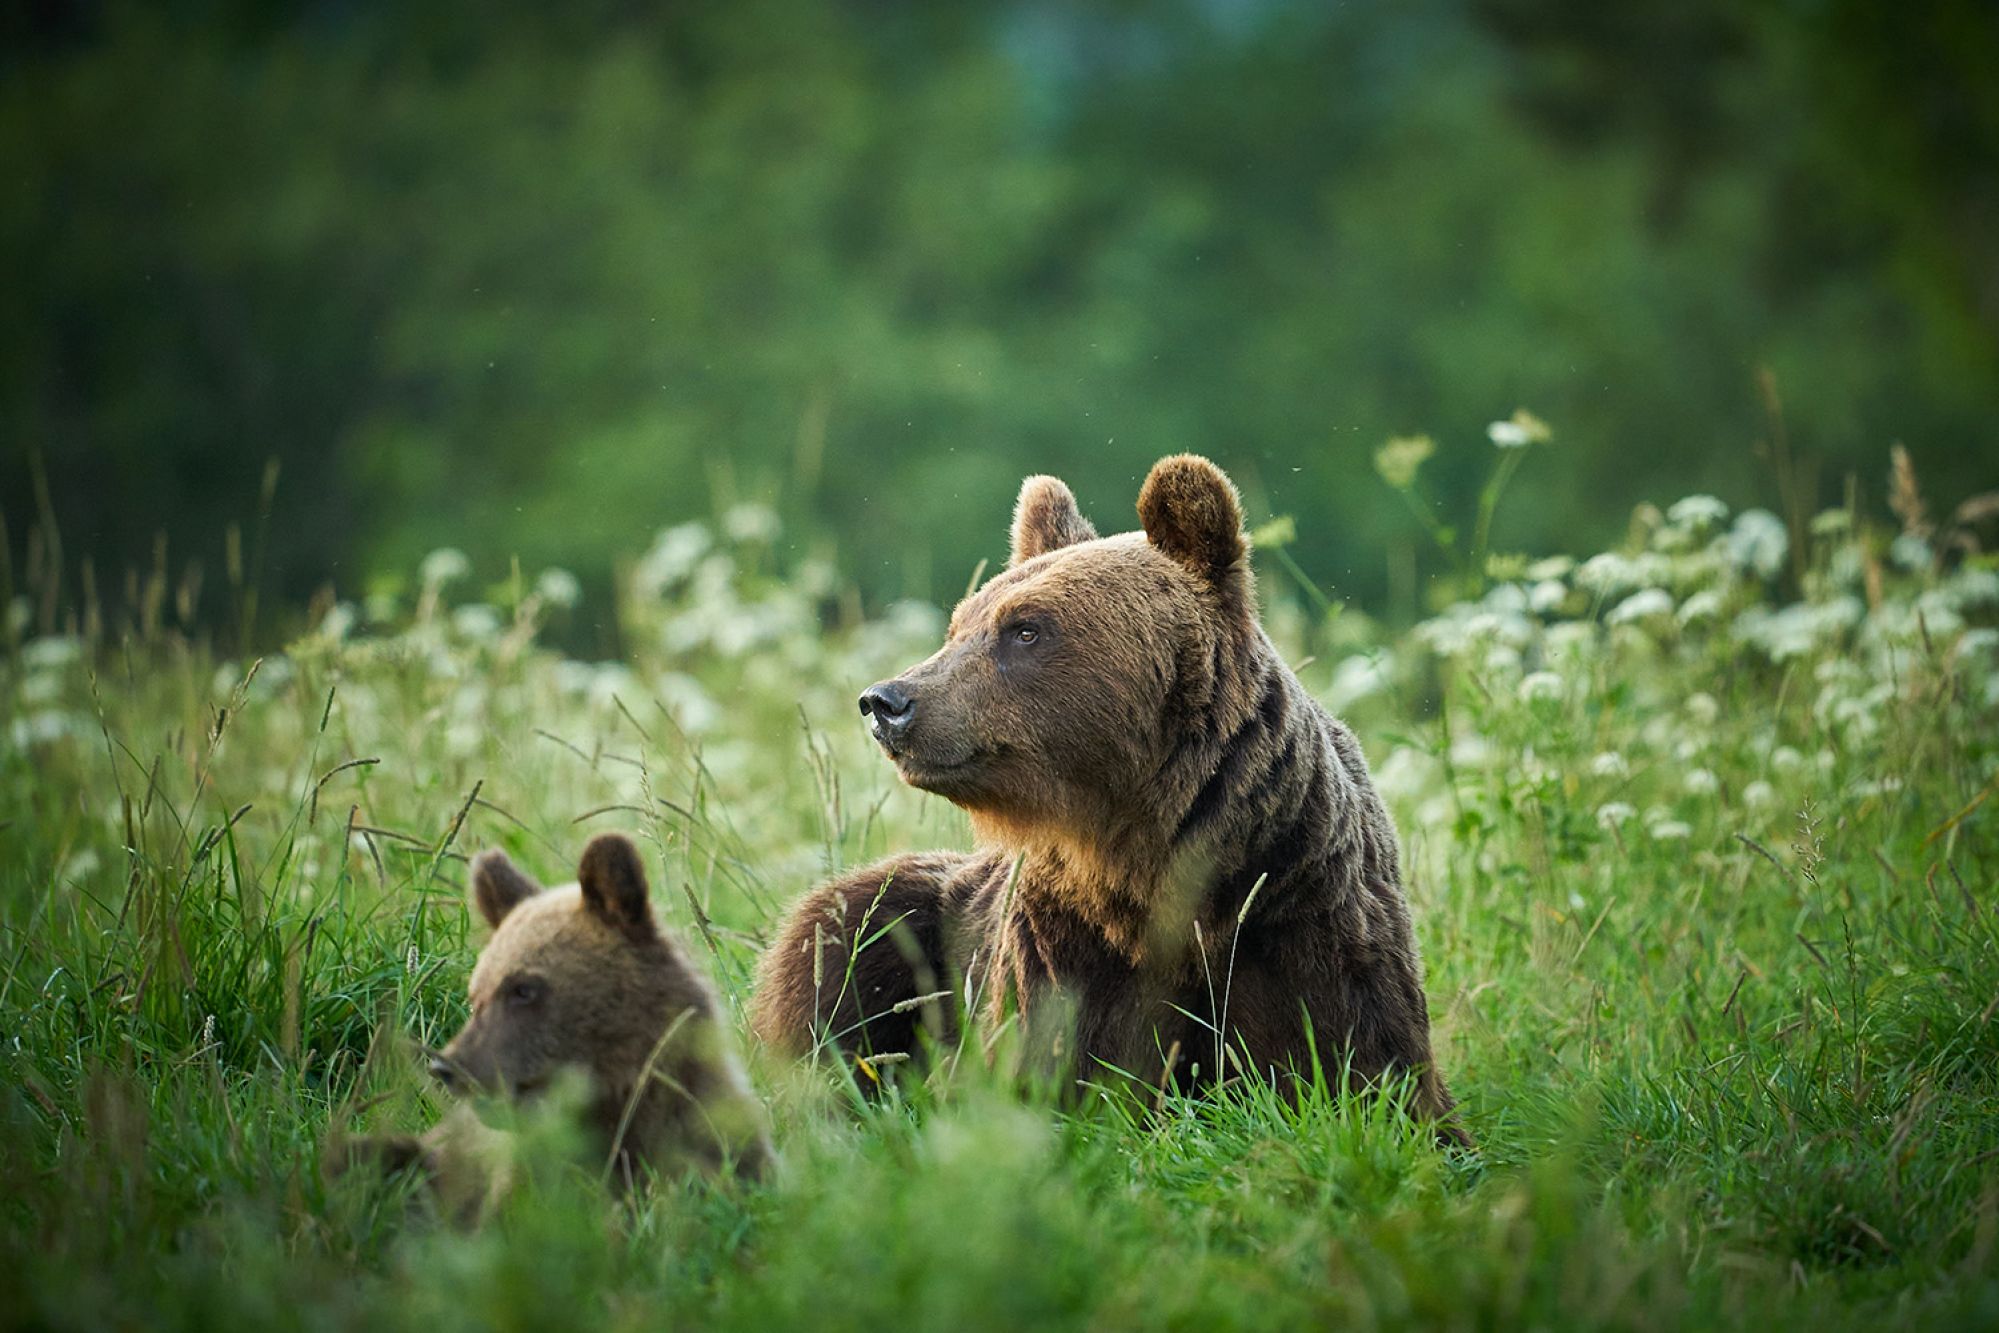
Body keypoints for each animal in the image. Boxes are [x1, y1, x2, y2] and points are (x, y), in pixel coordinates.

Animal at [751, 453, 1471, 1143]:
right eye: (960, 623)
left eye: (1025, 628)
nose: (887, 701)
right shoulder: (1060, 949)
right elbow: (1058, 1075)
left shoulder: (1303, 918)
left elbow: (1369, 1077)